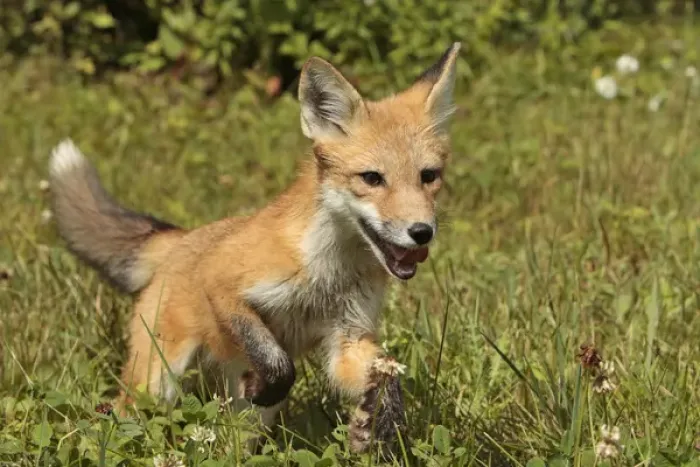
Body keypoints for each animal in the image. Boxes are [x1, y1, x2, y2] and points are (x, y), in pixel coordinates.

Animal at [47, 42, 461, 454]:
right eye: (372, 178)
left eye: (428, 177)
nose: (421, 232)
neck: (328, 271)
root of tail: (182, 237)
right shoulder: (223, 283)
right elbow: (280, 365)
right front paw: (272, 383)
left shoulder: (347, 335)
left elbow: (389, 376)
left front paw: (376, 426)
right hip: (155, 379)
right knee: (120, 415)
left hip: (240, 412)